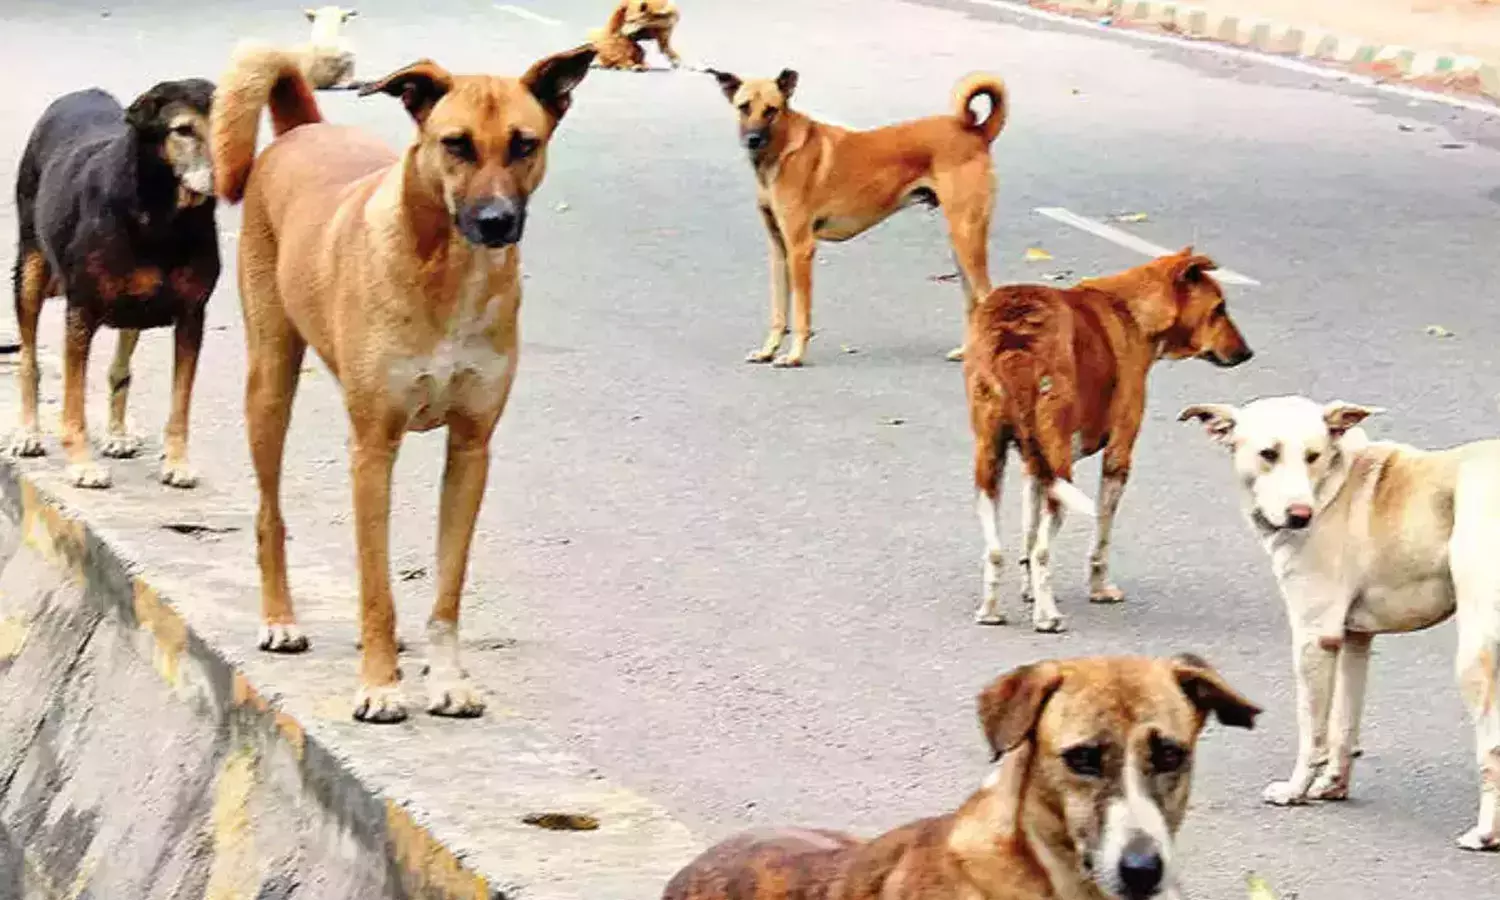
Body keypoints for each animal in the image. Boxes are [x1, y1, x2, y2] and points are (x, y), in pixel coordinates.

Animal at [11, 79, 219, 490]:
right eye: (183, 130)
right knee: (29, 359)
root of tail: (83, 91)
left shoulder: (192, 316)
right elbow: (73, 400)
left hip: (133, 306)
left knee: (120, 368)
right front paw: (81, 465)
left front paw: (177, 462)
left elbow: (180, 404)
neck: (163, 217)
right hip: (29, 270)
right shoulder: (81, 311)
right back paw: (28, 433)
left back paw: (118, 434)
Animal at [210, 41, 595, 723]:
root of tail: (304, 129)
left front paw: (447, 679)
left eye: (524, 143)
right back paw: (280, 618)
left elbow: (447, 589)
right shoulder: (372, 449)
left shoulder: (471, 449)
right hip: (270, 384)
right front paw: (380, 683)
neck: (448, 268)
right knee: (268, 514)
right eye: (456, 144)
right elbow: (376, 586)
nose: (496, 221)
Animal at [707, 67, 1005, 367]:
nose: (753, 140)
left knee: (987, 296)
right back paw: (966, 353)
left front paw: (794, 356)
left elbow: (801, 313)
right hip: (959, 244)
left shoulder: (800, 248)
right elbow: (779, 311)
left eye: (771, 110)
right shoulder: (780, 250)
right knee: (973, 303)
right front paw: (768, 350)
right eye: (744, 107)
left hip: (966, 236)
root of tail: (976, 131)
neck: (785, 149)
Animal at [966, 250, 1253, 633]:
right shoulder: (1118, 456)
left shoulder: (1035, 469)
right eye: (1220, 308)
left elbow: (1027, 533)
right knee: (1043, 551)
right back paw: (1048, 617)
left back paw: (991, 611)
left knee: (996, 550)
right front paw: (1099, 589)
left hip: (991, 463)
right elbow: (1100, 538)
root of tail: (1015, 340)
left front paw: (1028, 592)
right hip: (1059, 470)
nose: (1247, 353)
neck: (1129, 309)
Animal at [1179, 395, 1500, 851]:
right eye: (1268, 454)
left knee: (1491, 750)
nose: (1300, 516)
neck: (1334, 484)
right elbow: (1343, 726)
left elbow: (1312, 731)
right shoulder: (1353, 640)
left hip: (1474, 656)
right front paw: (1332, 785)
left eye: (1312, 456)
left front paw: (1296, 790)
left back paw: (1485, 832)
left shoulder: (1314, 639)